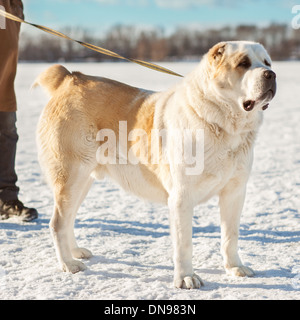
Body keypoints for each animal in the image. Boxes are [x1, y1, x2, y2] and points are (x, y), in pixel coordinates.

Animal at [35, 41, 276, 288]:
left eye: (267, 62)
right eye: (243, 63)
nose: (271, 74)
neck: (223, 126)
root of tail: (70, 78)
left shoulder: (234, 192)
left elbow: (230, 235)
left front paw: (234, 267)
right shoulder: (181, 197)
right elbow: (184, 243)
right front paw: (186, 277)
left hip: (83, 181)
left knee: (69, 219)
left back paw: (76, 252)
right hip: (71, 177)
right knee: (58, 223)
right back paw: (68, 264)